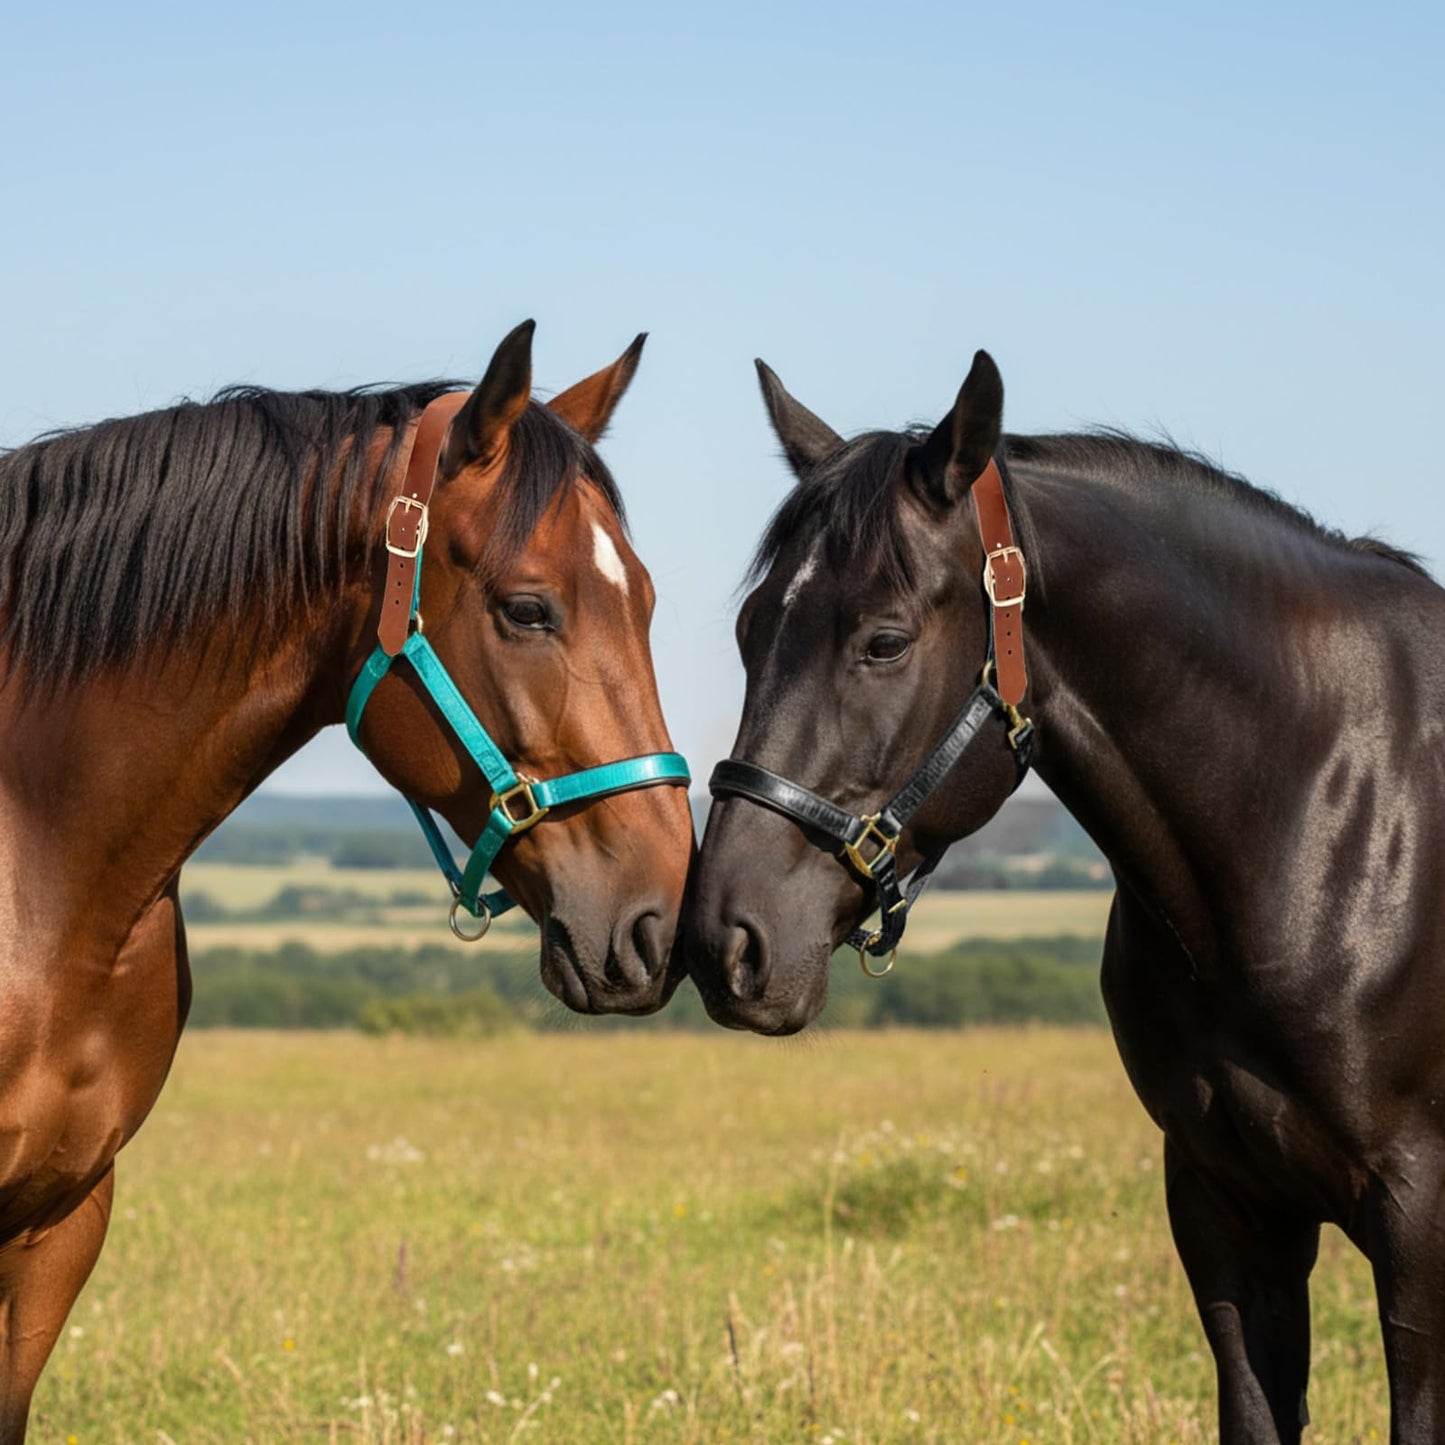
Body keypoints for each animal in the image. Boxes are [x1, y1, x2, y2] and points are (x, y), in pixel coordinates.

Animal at [683, 349, 1445, 1443]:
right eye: (752, 629)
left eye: (883, 640)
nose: (724, 941)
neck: (1324, 811)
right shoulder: (1224, 1205)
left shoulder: (1417, 1217)